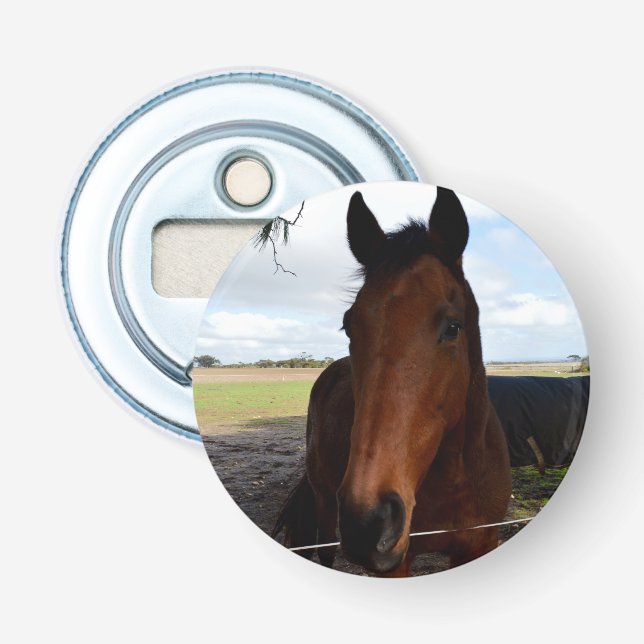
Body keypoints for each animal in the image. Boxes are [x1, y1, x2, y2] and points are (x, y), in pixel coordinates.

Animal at [273, 188, 512, 576]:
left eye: (453, 327)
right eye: (348, 327)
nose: (367, 522)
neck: (455, 479)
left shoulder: (480, 545)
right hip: (325, 505)